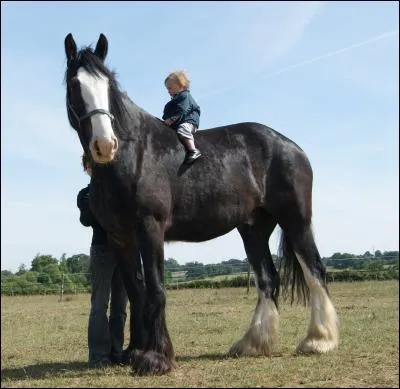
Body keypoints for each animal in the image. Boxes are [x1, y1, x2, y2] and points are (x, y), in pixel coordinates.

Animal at [65, 34, 338, 376]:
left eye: (108, 85)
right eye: (75, 85)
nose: (104, 145)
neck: (133, 156)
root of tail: (291, 146)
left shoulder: (150, 229)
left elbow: (156, 290)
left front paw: (157, 358)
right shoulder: (121, 239)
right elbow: (137, 293)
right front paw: (136, 351)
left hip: (295, 220)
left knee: (315, 270)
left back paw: (318, 340)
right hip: (254, 229)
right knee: (268, 279)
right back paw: (252, 344)